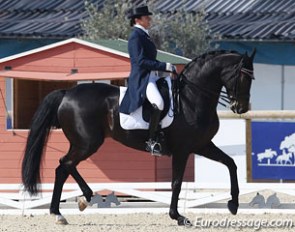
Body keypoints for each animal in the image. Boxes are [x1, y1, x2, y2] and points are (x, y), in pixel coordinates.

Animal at [22, 49, 256, 225]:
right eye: (243, 77)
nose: (241, 107)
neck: (192, 98)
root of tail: (67, 94)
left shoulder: (202, 145)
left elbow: (231, 163)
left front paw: (233, 204)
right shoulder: (182, 150)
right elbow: (177, 182)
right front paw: (178, 216)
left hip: (83, 143)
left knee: (65, 166)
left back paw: (82, 201)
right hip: (87, 143)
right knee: (64, 166)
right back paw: (64, 210)